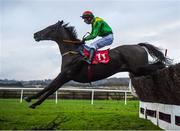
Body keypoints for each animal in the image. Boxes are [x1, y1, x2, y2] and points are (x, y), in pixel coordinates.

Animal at [24, 20, 169, 108]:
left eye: (50, 28)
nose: (35, 34)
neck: (73, 53)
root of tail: (138, 46)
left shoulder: (65, 75)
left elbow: (50, 88)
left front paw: (32, 100)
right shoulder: (65, 77)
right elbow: (50, 88)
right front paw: (31, 99)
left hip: (137, 68)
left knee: (159, 65)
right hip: (136, 71)